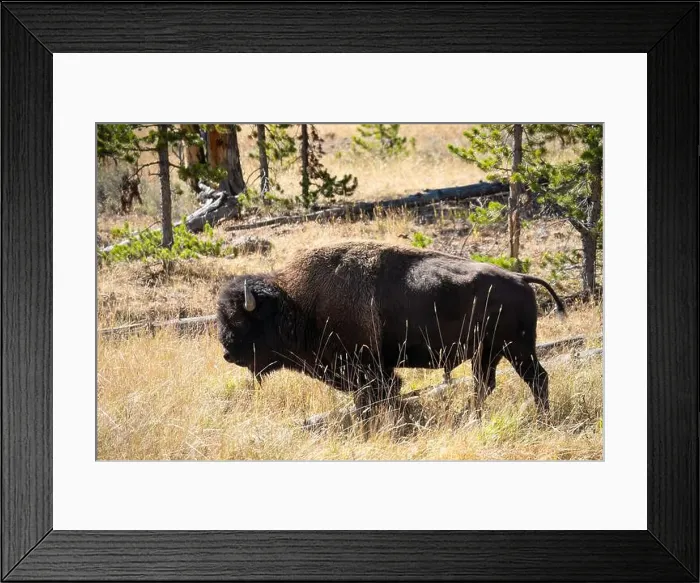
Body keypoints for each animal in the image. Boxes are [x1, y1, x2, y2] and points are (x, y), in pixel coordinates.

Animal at [217, 241, 566, 419]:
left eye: (240, 319)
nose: (227, 353)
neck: (296, 304)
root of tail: (521, 279)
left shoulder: (367, 369)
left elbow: (375, 397)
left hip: (517, 349)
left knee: (538, 379)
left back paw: (541, 419)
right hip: (490, 352)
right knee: (485, 384)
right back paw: (470, 416)